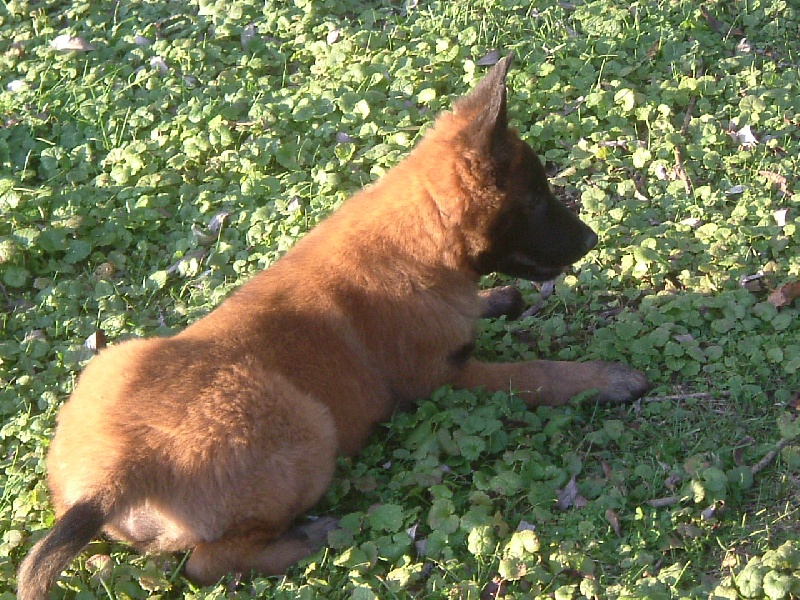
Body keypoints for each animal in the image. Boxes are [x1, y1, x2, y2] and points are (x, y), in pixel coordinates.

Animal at [15, 54, 648, 596]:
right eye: (537, 201)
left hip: (118, 359)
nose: (591, 240)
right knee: (208, 563)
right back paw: (321, 533)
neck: (419, 243)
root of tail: (117, 474)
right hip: (309, 429)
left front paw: (498, 299)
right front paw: (608, 378)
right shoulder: (446, 381)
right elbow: (539, 373)